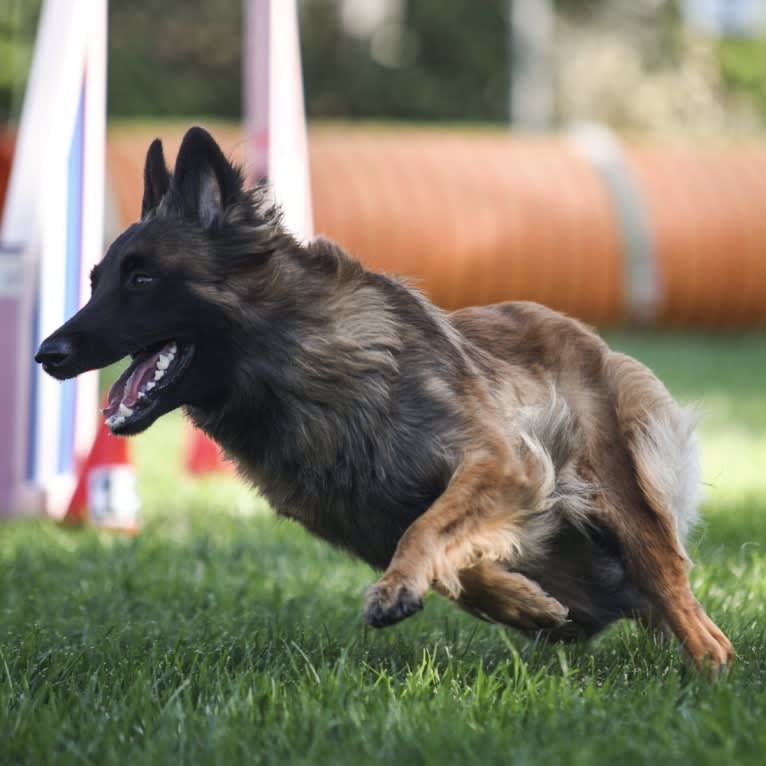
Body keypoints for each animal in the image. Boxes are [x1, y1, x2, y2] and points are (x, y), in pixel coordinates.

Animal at [37, 124, 736, 664]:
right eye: (96, 281)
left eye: (142, 279)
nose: (47, 355)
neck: (297, 367)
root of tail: (588, 338)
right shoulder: (370, 522)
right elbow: (459, 568)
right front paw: (526, 605)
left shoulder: (500, 462)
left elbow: (427, 529)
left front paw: (402, 589)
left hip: (624, 500)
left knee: (677, 593)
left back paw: (711, 664)